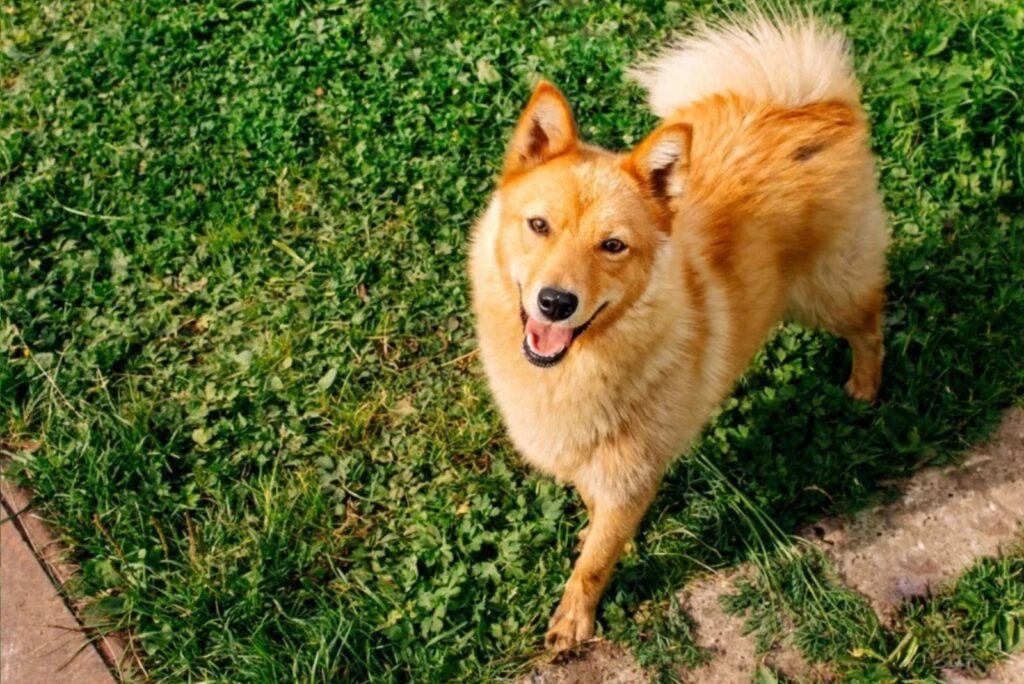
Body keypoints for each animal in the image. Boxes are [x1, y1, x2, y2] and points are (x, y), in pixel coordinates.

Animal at [468, 13, 884, 651]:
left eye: (613, 246)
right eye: (538, 225)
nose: (556, 302)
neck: (581, 367)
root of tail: (810, 106)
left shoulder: (630, 474)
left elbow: (593, 566)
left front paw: (575, 619)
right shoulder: (604, 467)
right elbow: (597, 522)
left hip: (828, 292)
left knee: (871, 321)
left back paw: (866, 384)